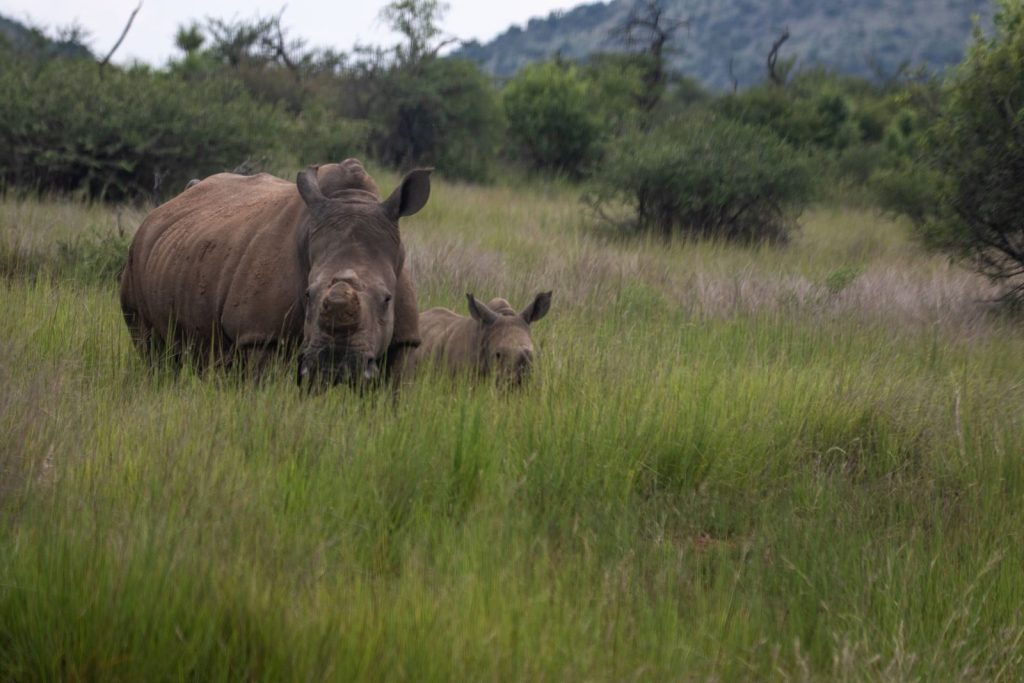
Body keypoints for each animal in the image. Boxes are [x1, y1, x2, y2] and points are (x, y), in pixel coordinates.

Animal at [119, 159, 431, 385]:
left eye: (387, 299)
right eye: (308, 294)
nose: (335, 364)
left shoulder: (404, 341)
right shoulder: (261, 335)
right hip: (136, 260)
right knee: (153, 353)